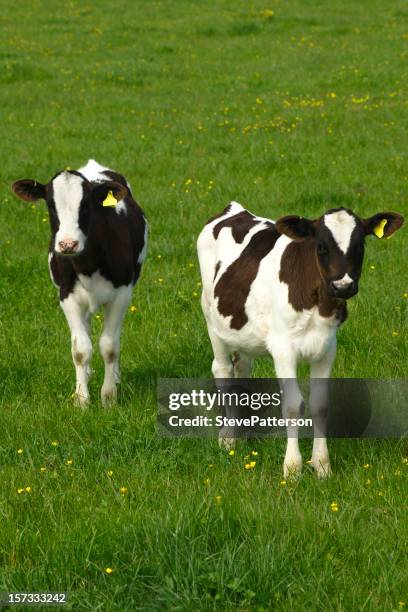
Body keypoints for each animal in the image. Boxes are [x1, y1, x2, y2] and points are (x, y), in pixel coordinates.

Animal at [11, 160, 147, 404]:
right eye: (51, 205)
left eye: (85, 206)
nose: (67, 244)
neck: (87, 265)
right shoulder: (67, 296)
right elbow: (81, 349)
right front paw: (81, 398)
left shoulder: (121, 294)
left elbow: (110, 346)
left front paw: (109, 397)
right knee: (87, 328)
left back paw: (116, 376)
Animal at [197, 202, 402, 478]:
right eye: (321, 246)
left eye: (360, 245)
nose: (343, 286)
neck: (319, 302)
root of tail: (234, 209)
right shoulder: (283, 349)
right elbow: (293, 405)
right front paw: (292, 469)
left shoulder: (327, 347)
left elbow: (320, 405)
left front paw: (322, 466)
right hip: (212, 320)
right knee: (222, 369)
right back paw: (228, 437)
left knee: (242, 366)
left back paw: (243, 428)